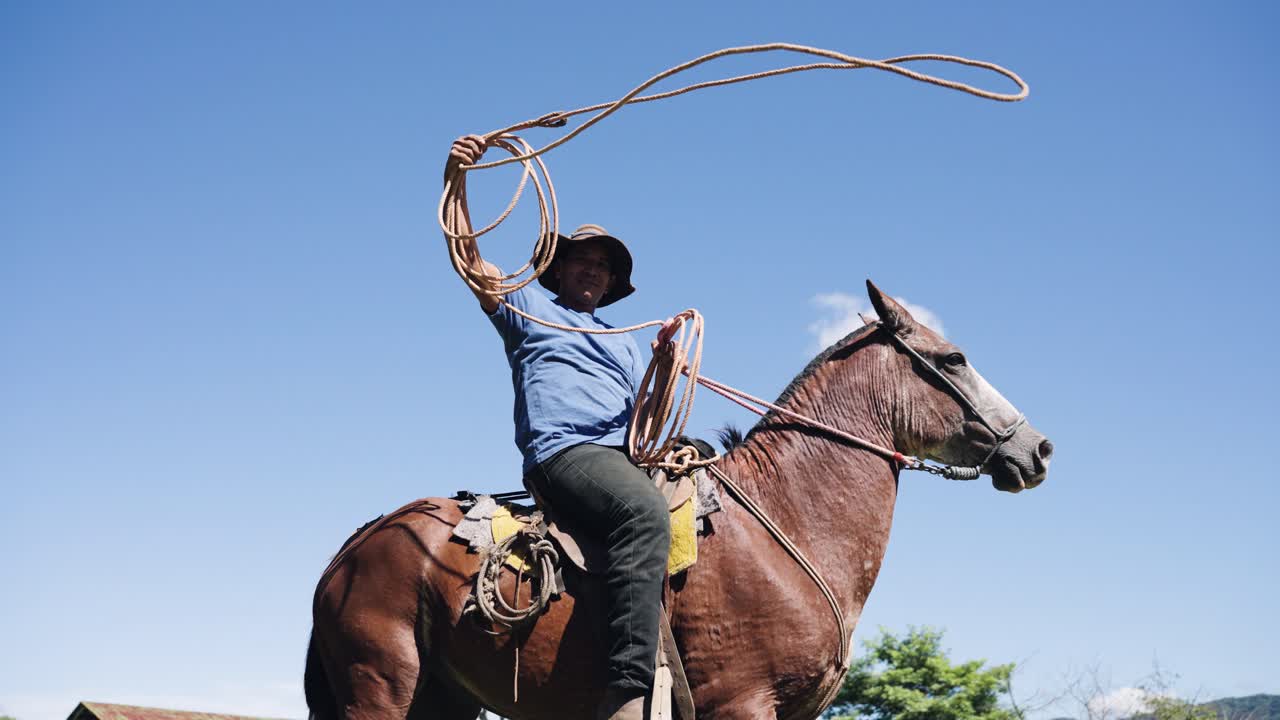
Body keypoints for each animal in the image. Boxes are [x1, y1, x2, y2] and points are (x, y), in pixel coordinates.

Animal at [304, 281, 1053, 720]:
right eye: (953, 360)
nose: (1037, 449)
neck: (788, 516)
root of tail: (355, 547)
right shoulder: (743, 704)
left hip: (443, 699)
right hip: (382, 687)